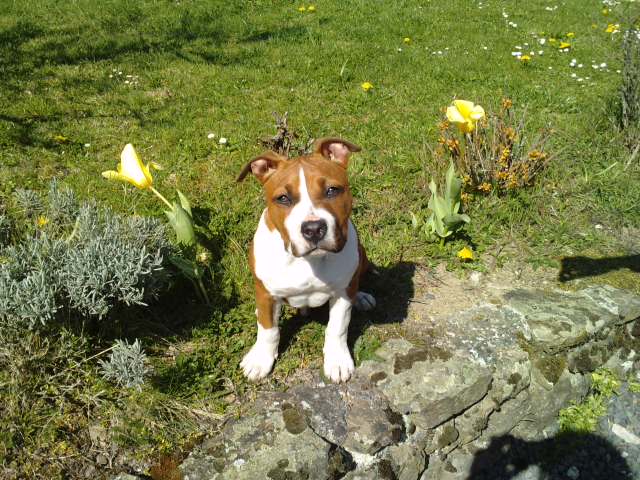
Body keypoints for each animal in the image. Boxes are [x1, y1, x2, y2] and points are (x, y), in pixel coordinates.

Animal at [236, 137, 376, 383]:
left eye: (332, 190)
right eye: (283, 198)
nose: (313, 229)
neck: (307, 262)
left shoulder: (341, 294)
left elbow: (337, 328)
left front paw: (337, 361)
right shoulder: (265, 293)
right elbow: (268, 330)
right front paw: (260, 359)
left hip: (362, 255)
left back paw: (361, 296)